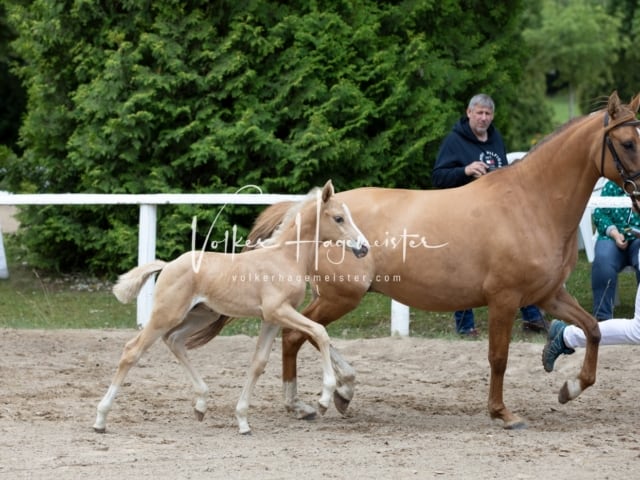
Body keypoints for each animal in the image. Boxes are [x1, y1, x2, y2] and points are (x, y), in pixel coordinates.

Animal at [92, 180, 368, 436]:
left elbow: (258, 362)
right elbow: (320, 332)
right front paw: (324, 399)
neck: (285, 258)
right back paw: (100, 420)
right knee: (132, 350)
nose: (364, 247)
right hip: (167, 314)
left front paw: (243, 421)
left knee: (174, 340)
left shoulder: (273, 319)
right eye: (339, 218)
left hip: (200, 315)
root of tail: (168, 264)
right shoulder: (278, 311)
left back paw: (201, 405)